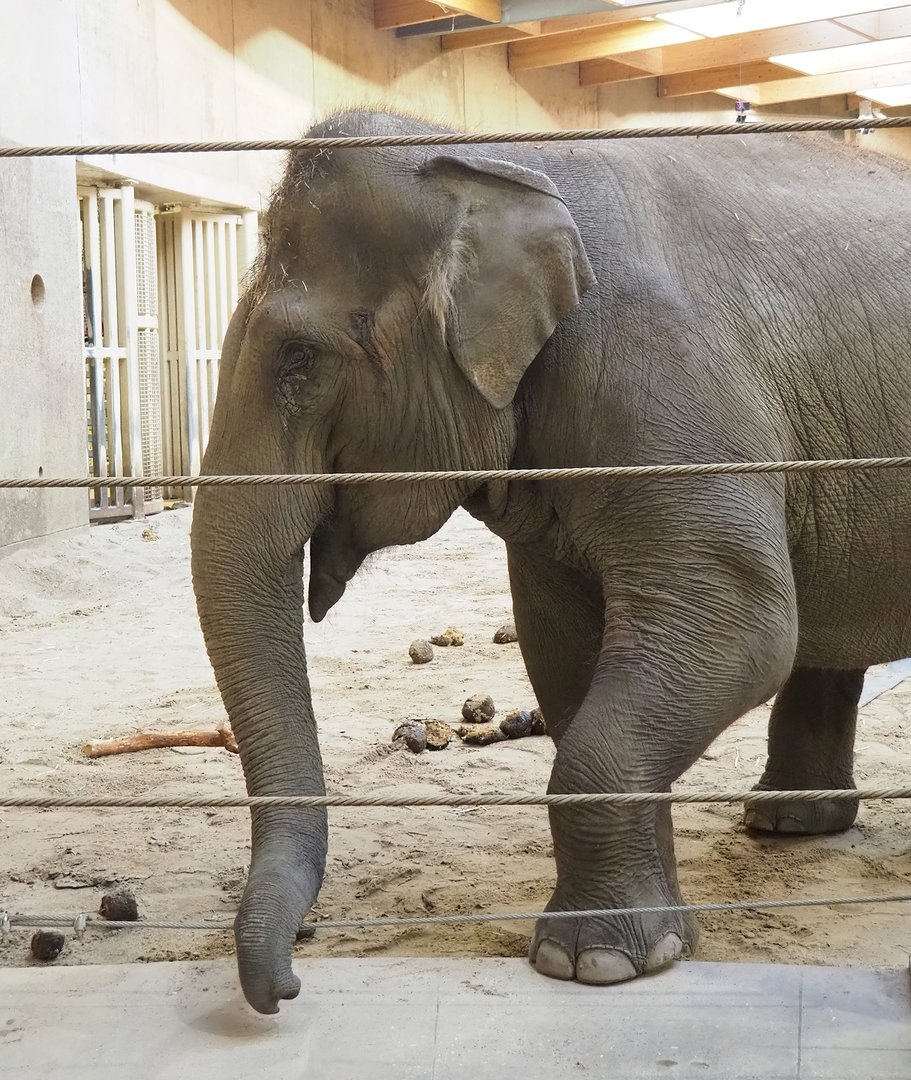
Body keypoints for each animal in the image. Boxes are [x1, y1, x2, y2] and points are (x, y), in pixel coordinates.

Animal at [190, 109, 911, 1014]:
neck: (493, 155)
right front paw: (643, 949)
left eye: (299, 359)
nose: (285, 986)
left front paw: (592, 963)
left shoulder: (661, 379)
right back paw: (788, 825)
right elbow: (565, 646)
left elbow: (741, 626)